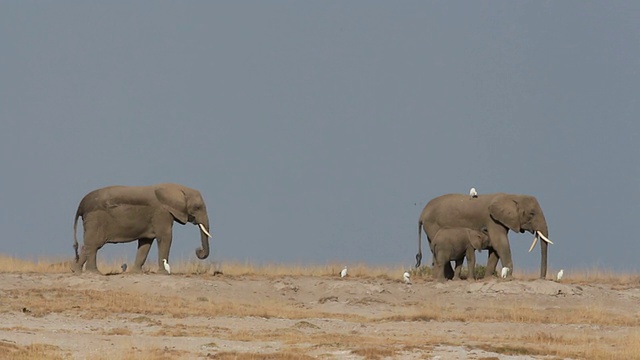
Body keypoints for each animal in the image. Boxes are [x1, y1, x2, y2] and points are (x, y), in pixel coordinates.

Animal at [71, 184, 212, 274]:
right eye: (198, 207)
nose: (198, 250)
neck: (178, 189)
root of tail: (80, 205)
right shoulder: (162, 213)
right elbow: (165, 237)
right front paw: (163, 273)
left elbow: (145, 242)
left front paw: (137, 272)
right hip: (96, 220)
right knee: (94, 245)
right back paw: (94, 273)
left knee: (88, 246)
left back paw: (76, 271)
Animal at [418, 194, 552, 278]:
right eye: (532, 213)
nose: (541, 278)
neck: (512, 196)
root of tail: (422, 214)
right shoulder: (492, 219)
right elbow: (500, 243)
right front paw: (509, 276)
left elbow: (495, 248)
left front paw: (488, 278)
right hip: (433, 225)